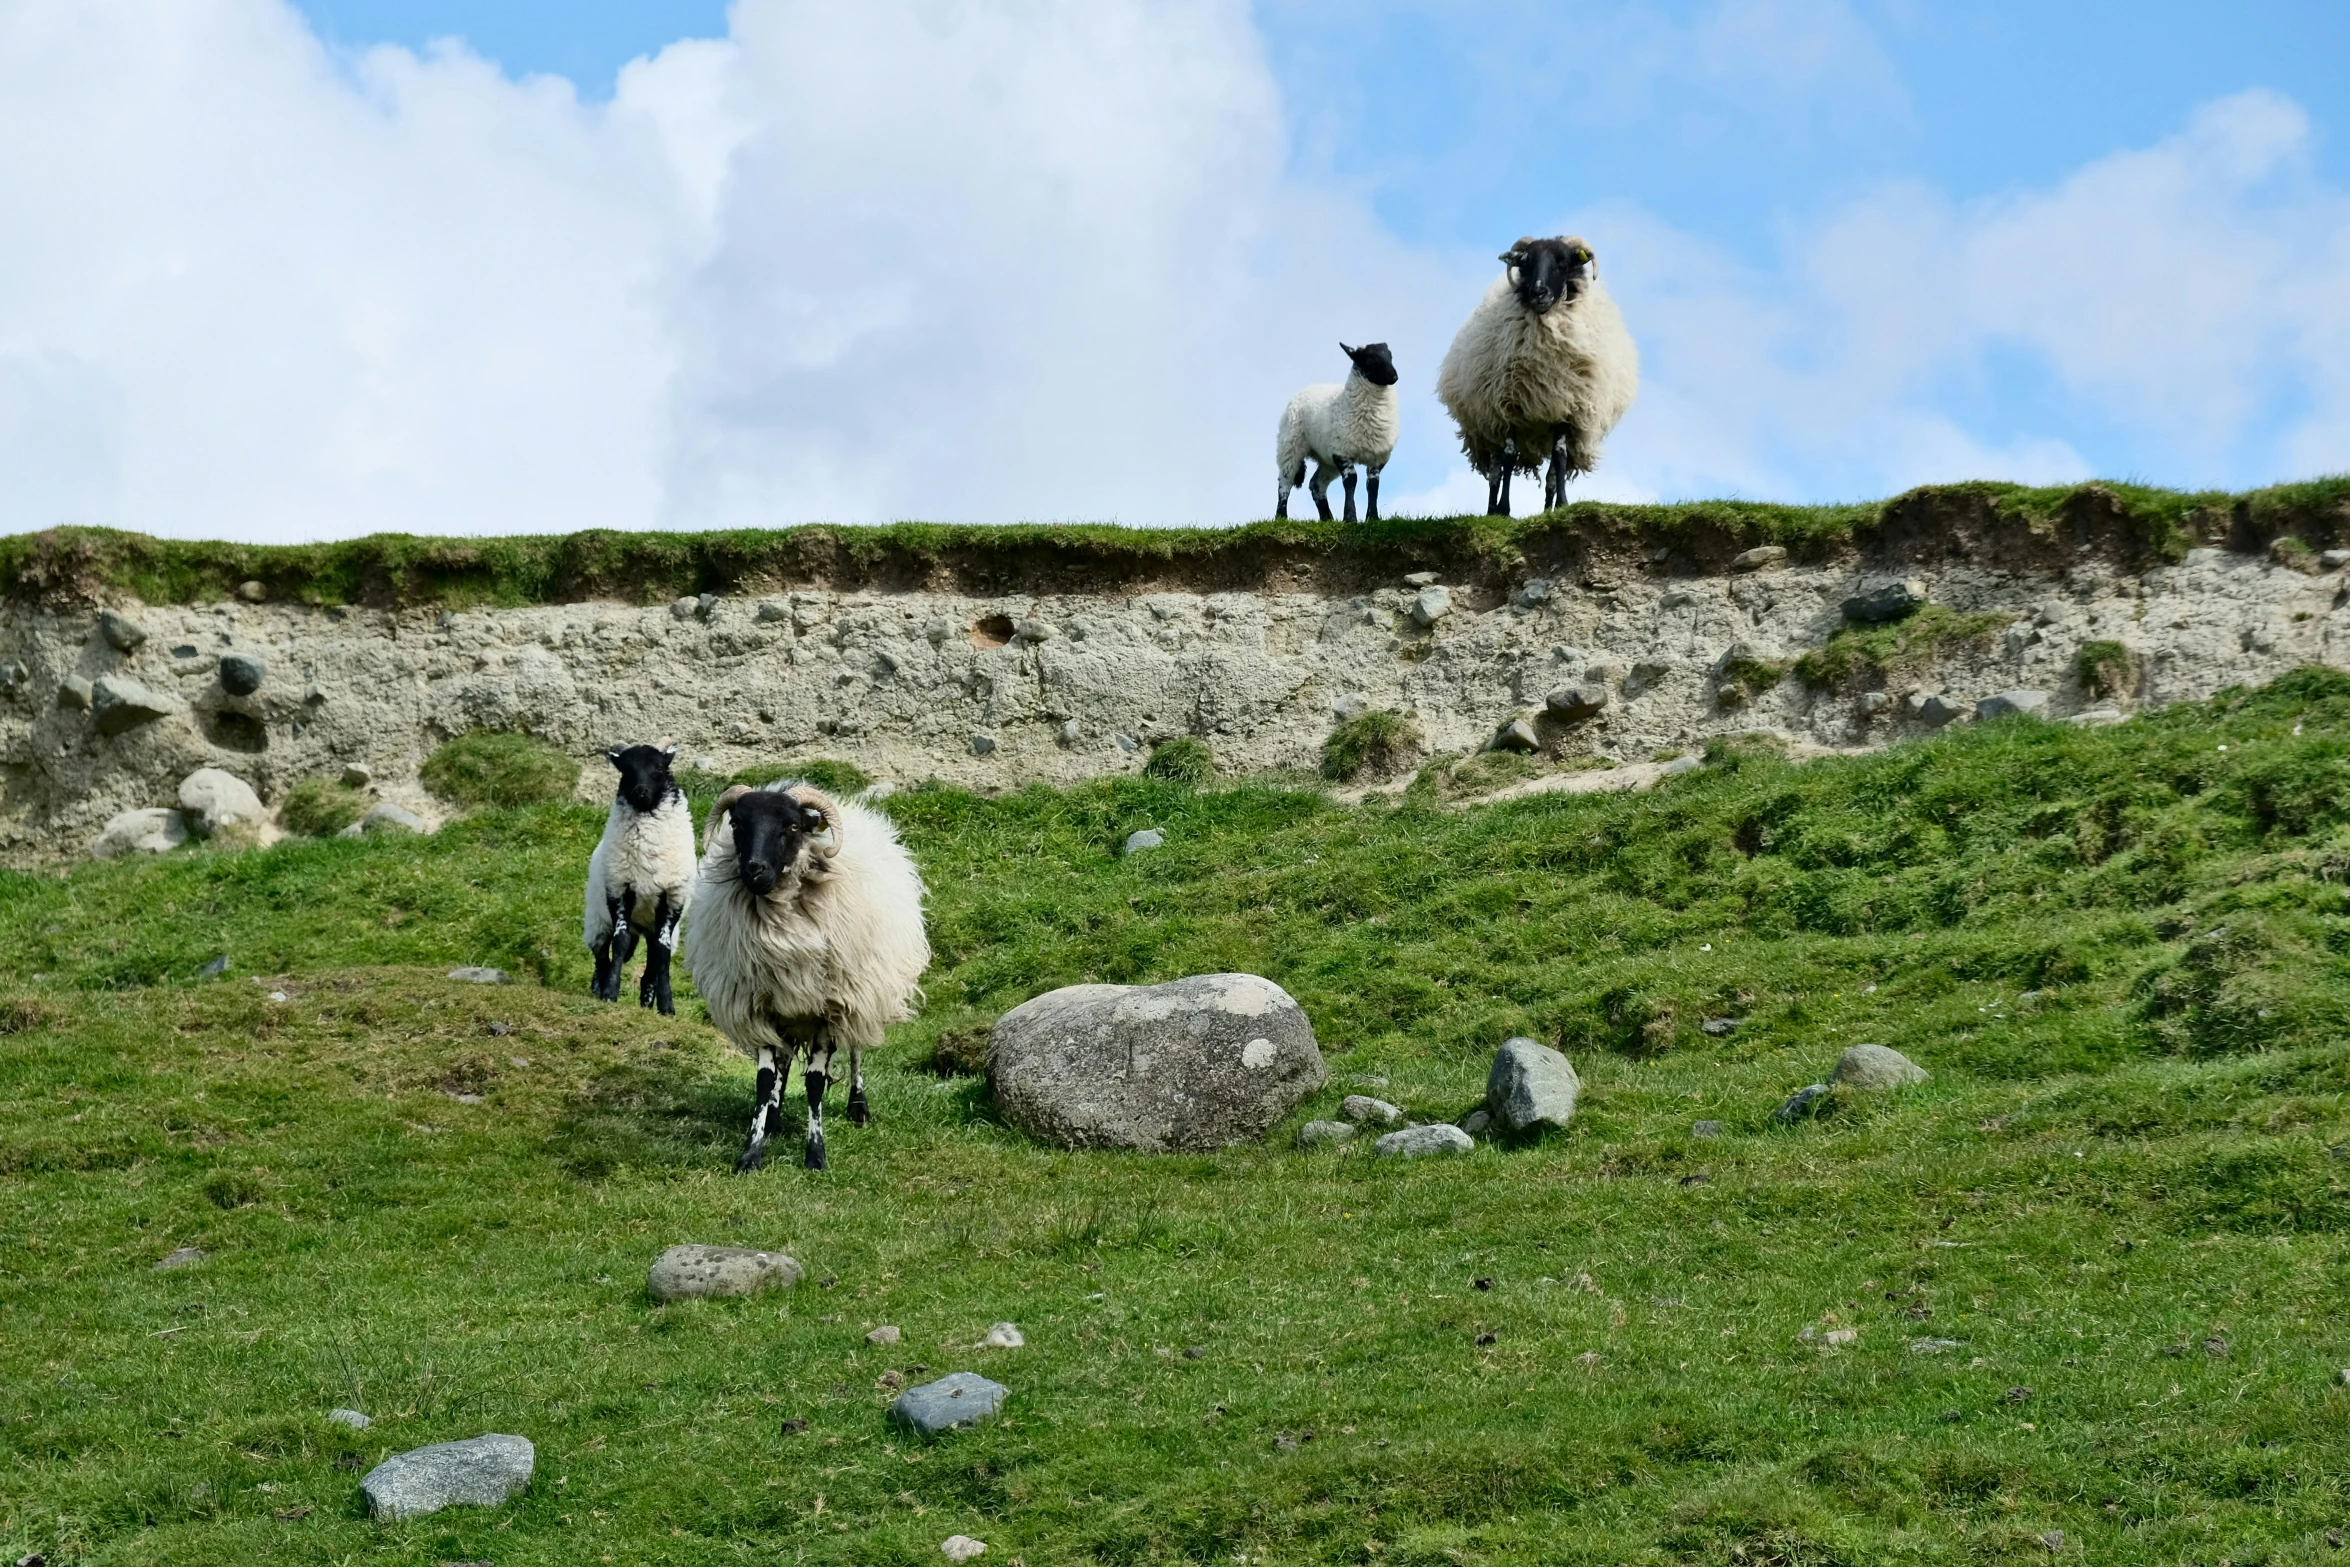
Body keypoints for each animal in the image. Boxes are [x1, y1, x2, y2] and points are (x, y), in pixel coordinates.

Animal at [585, 747, 695, 1019]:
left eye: (659, 768)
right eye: (625, 770)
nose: (640, 791)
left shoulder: (672, 898)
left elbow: (662, 952)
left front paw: (666, 1007)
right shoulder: (620, 890)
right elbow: (620, 941)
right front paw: (609, 994)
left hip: (653, 926)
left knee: (652, 960)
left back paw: (646, 1003)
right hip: (597, 920)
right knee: (601, 956)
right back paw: (598, 988)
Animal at [681, 779, 925, 1169]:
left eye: (792, 827)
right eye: (736, 824)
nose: (754, 870)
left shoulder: (832, 1007)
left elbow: (814, 1082)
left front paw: (816, 1154)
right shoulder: (759, 1006)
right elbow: (765, 1079)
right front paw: (752, 1150)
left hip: (864, 991)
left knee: (856, 1051)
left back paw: (858, 1106)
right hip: (791, 1011)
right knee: (783, 1062)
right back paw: (775, 1117)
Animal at [1278, 340, 1400, 523]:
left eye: (1390, 355)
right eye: (1370, 359)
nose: (1393, 376)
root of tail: (1309, 387)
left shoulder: (1378, 455)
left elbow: (1373, 485)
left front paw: (1373, 518)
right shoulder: (1342, 451)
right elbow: (1351, 481)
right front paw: (1349, 517)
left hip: (1326, 459)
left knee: (1316, 484)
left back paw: (1327, 519)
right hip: (1290, 445)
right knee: (1285, 481)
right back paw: (1280, 517)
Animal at [1428, 236, 1635, 514]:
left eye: (1563, 262)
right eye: (1525, 261)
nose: (1538, 292)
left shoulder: (1566, 406)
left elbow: (1559, 456)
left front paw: (1561, 505)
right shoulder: (1507, 406)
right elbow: (1509, 456)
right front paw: (1504, 509)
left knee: (1550, 473)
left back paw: (1547, 508)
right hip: (1486, 425)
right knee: (1495, 470)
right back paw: (1492, 510)